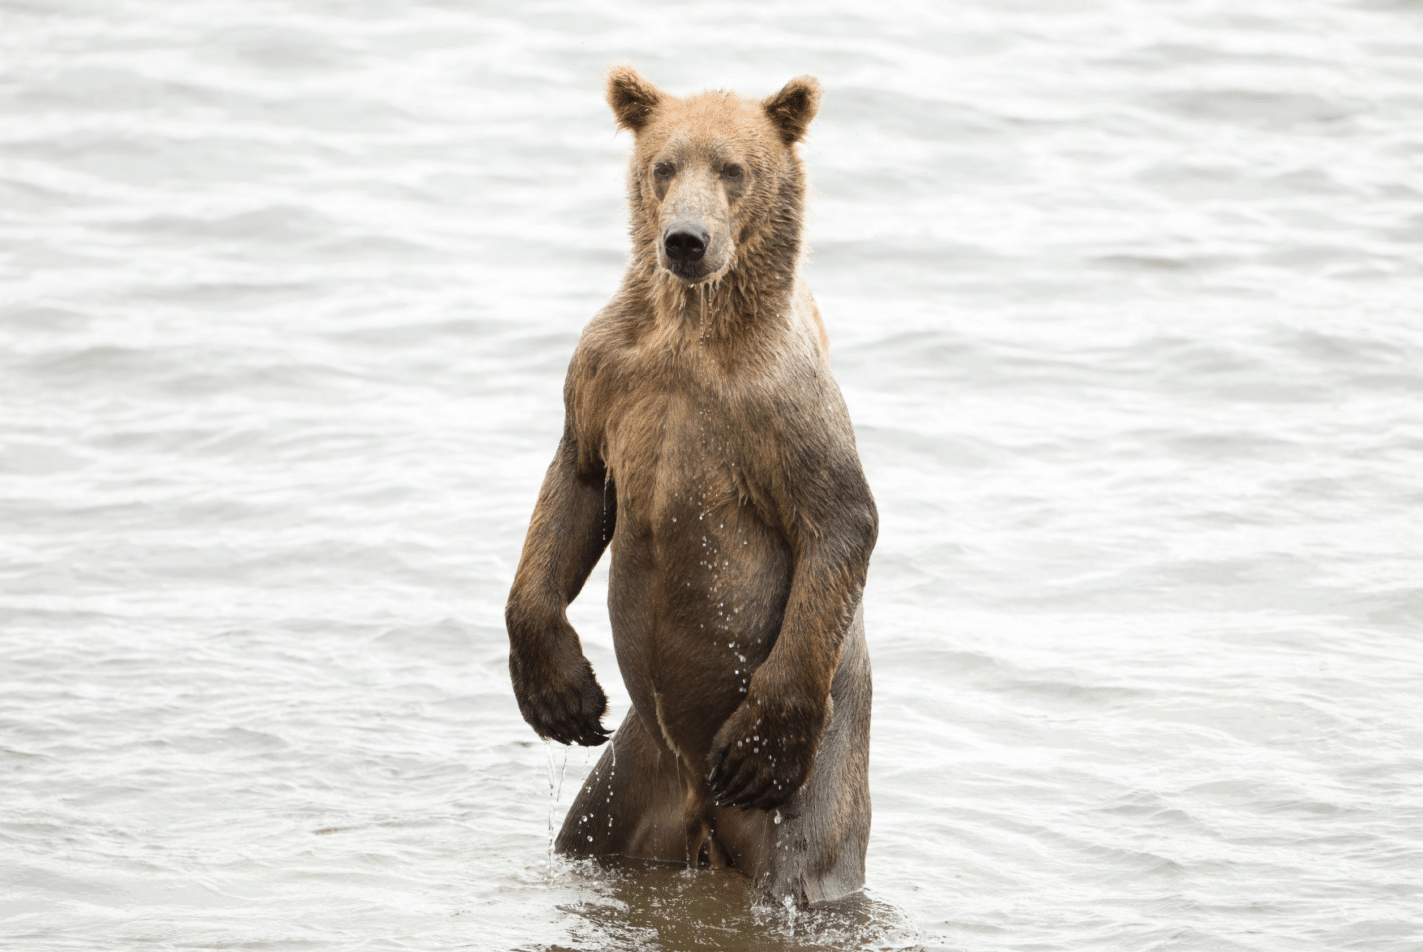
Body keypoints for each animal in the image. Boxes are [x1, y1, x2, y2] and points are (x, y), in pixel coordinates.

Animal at [504, 64, 877, 907]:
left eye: (734, 168)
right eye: (663, 165)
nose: (684, 241)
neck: (692, 332)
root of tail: (699, 807)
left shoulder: (780, 403)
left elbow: (840, 519)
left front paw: (762, 743)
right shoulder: (608, 374)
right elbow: (576, 484)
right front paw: (558, 692)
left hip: (816, 781)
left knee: (805, 866)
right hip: (628, 783)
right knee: (585, 833)